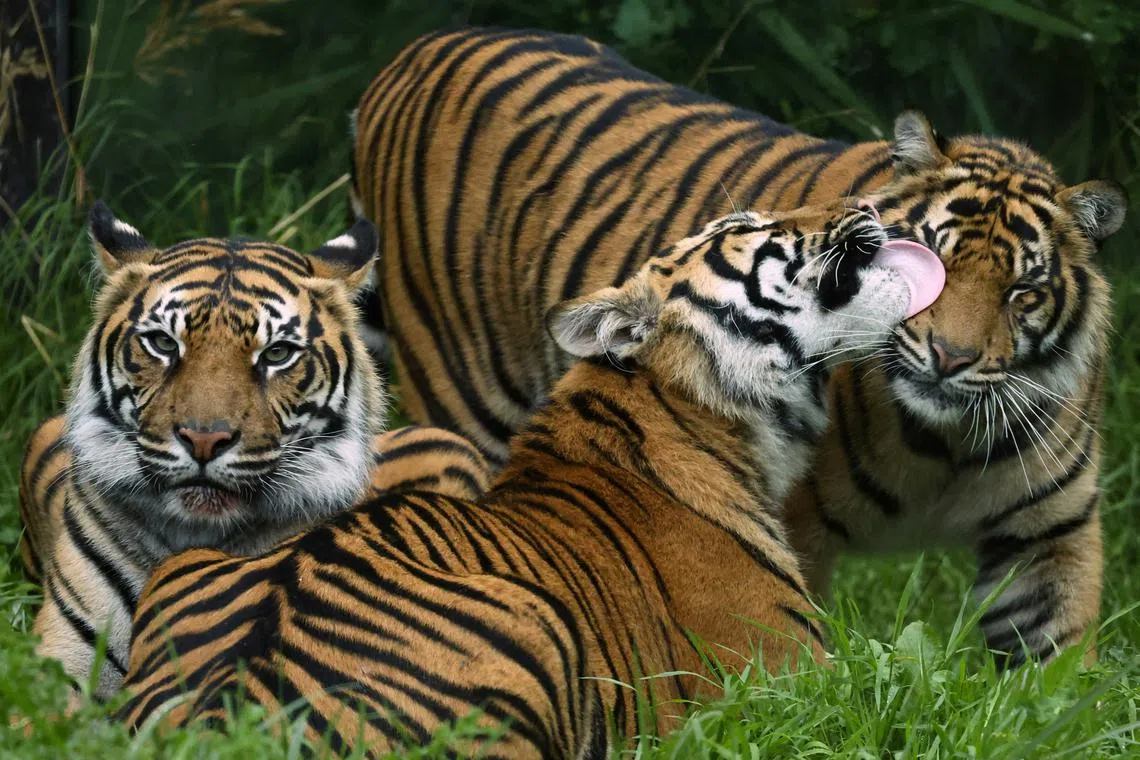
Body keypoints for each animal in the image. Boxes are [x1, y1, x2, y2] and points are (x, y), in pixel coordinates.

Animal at [118, 200, 930, 757]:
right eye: (748, 225)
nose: (870, 206)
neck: (712, 417)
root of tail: (236, 711)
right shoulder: (791, 685)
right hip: (540, 621)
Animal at [349, 27, 1127, 667]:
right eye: (933, 258)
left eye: (1021, 292)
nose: (950, 358)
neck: (944, 445)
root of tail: (415, 52)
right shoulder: (797, 525)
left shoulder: (1050, 536)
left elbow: (1054, 675)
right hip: (464, 399)